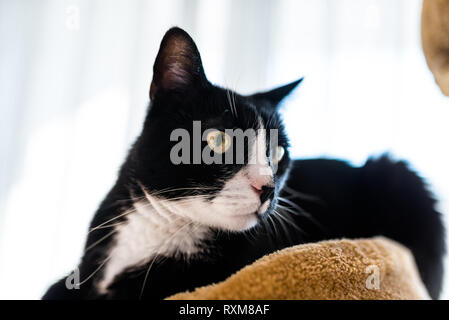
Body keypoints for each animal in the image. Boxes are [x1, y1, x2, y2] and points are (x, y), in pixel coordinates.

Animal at [43, 27, 444, 300]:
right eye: (218, 140)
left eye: (278, 154)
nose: (267, 188)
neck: (157, 229)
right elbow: (58, 286)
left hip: (398, 178)